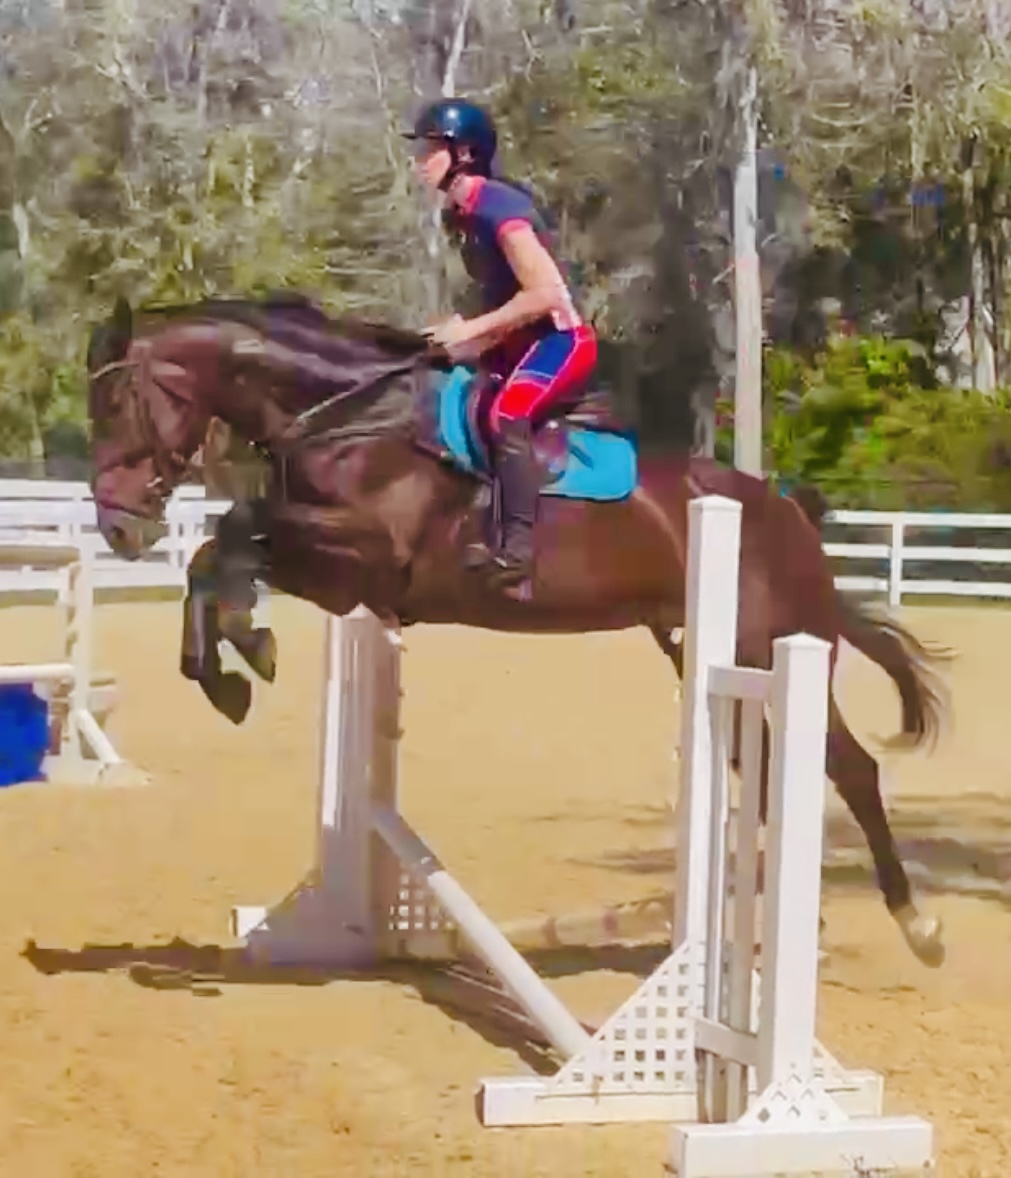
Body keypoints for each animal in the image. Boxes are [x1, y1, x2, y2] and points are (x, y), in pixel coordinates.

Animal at [86, 291, 950, 967]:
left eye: (118, 404)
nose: (120, 530)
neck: (347, 418)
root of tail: (791, 516)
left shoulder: (363, 563)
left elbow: (229, 534)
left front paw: (243, 656)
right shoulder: (337, 572)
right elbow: (217, 552)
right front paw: (228, 669)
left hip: (765, 648)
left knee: (853, 771)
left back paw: (918, 927)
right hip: (709, 661)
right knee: (778, 777)